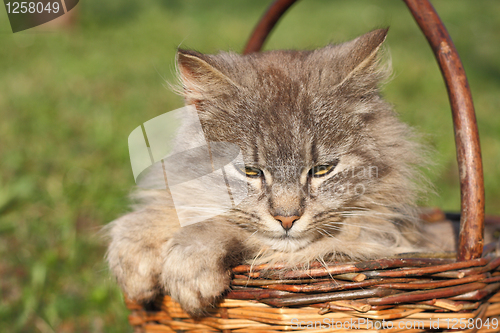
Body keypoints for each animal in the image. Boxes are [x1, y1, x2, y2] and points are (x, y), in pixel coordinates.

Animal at [107, 27, 432, 314]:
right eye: (250, 171)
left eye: (322, 169)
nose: (287, 219)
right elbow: (168, 209)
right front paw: (136, 260)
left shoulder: (372, 239)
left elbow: (221, 229)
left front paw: (186, 270)